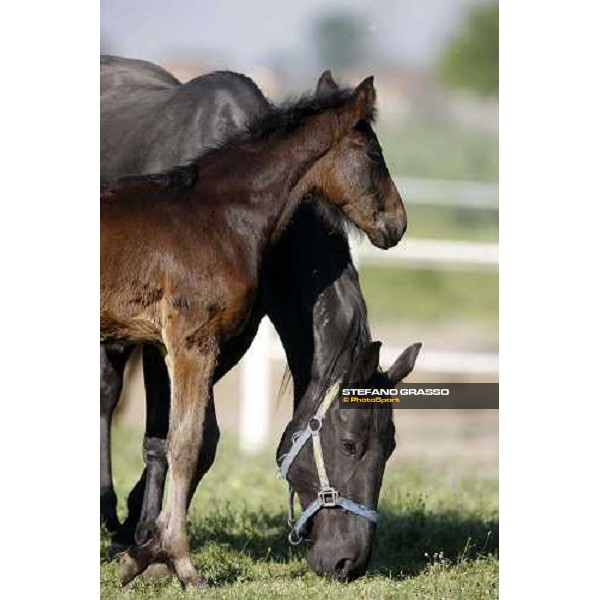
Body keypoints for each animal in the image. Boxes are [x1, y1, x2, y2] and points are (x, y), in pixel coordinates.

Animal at [101, 76, 406, 592]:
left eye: (392, 446)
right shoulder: (187, 344)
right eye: (374, 154)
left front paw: (144, 550)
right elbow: (183, 445)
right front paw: (175, 561)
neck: (217, 213)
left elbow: (187, 445)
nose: (397, 224)